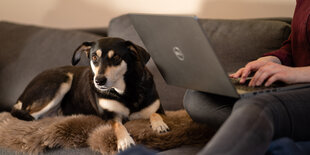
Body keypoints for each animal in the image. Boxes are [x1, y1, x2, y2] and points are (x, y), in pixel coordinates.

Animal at [10, 37, 170, 151]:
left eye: (116, 57)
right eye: (94, 57)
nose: (99, 81)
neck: (126, 90)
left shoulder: (159, 108)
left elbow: (154, 113)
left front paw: (159, 125)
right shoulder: (110, 116)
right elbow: (118, 126)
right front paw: (125, 141)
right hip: (62, 80)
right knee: (30, 115)